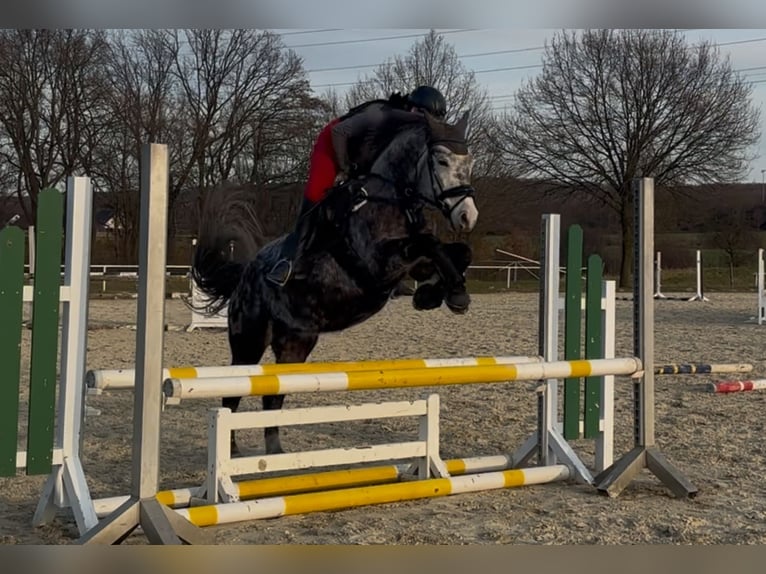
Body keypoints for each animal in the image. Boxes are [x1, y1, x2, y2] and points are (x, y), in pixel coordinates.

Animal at [190, 111, 478, 455]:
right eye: (441, 160)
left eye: (470, 161)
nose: (468, 217)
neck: (390, 199)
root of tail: (245, 274)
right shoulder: (377, 264)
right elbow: (430, 242)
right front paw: (454, 294)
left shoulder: (410, 262)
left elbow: (456, 251)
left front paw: (439, 293)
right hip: (249, 340)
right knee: (232, 394)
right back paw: (233, 450)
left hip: (295, 343)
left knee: (273, 396)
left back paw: (275, 452)